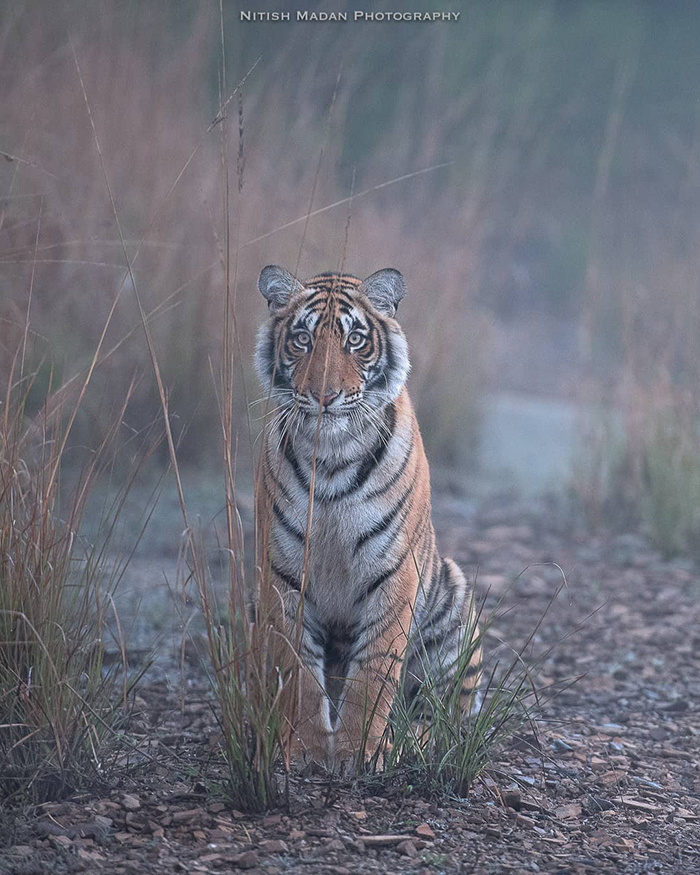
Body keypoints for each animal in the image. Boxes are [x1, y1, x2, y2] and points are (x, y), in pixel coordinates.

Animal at [254, 264, 482, 770]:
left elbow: (374, 672)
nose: (323, 396)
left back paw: (412, 740)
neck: (332, 455)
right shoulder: (285, 572)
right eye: (302, 339)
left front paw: (360, 752)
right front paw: (305, 748)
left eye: (355, 340)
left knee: (444, 717)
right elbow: (300, 671)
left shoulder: (393, 571)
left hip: (455, 600)